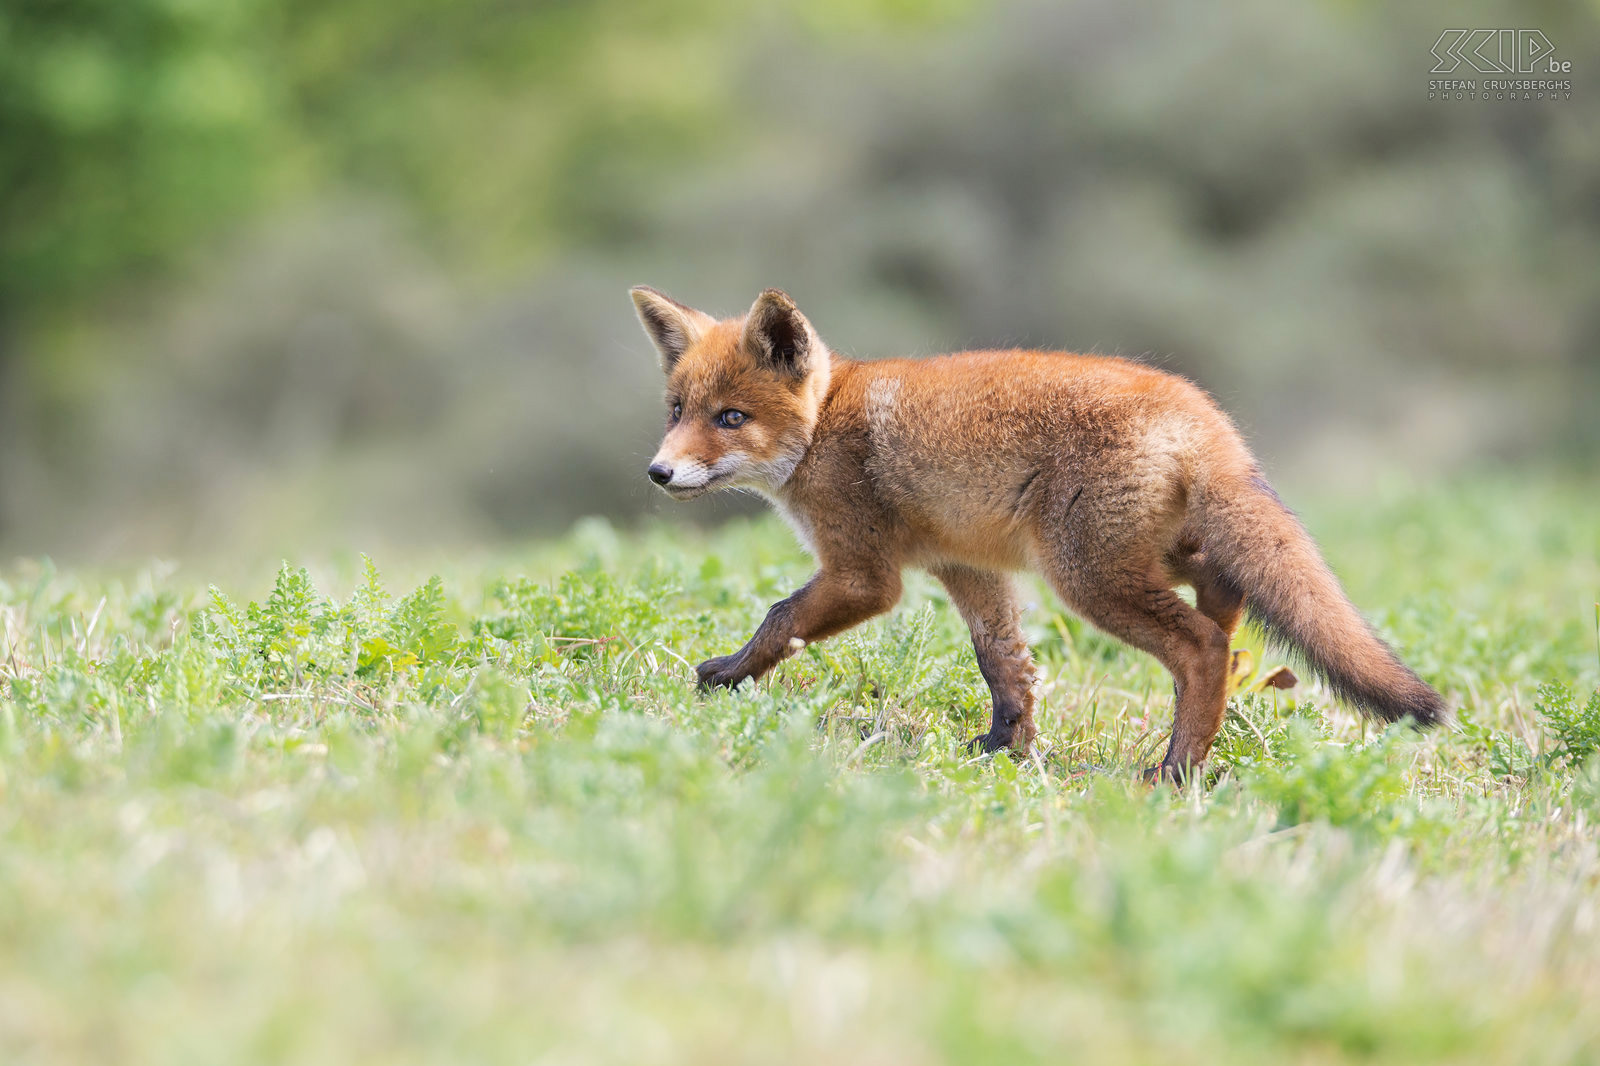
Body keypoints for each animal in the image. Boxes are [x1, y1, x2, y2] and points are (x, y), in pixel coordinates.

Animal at [627, 286, 1452, 777]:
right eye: (677, 410)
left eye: (731, 418)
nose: (658, 473)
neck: (826, 419)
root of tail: (1201, 415)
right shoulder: (966, 568)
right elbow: (1004, 665)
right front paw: (1005, 747)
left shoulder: (864, 574)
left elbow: (778, 617)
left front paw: (726, 676)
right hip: (1146, 555)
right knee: (1226, 597)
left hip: (1088, 576)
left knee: (1202, 647)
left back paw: (1176, 770)